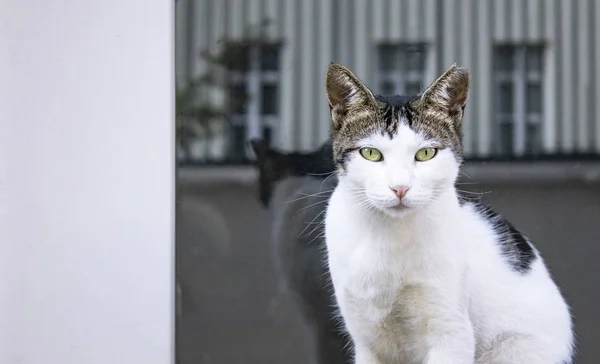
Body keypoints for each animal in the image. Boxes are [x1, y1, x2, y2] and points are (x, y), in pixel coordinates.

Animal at [322, 63, 576, 364]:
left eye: (426, 153)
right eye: (371, 153)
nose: (400, 187)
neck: (389, 238)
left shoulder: (451, 332)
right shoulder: (367, 341)